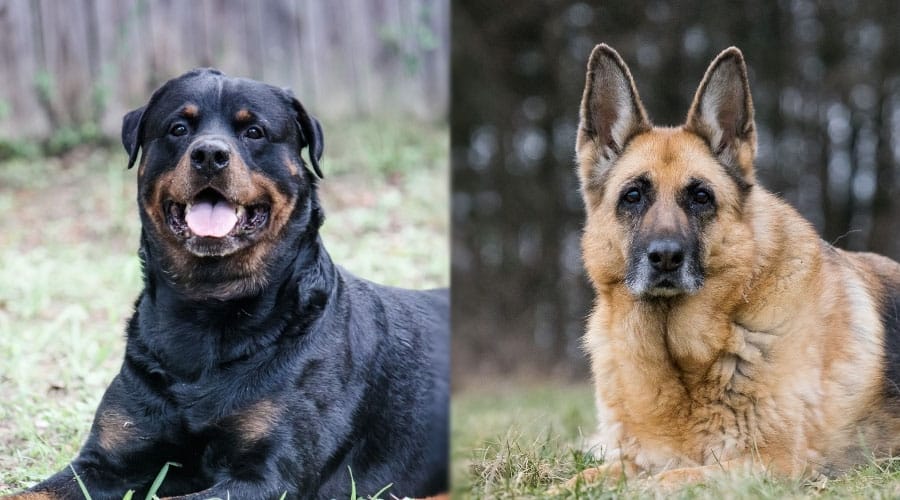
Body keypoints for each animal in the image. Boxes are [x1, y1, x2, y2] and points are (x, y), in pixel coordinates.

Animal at [9, 69, 450, 500]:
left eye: (254, 131)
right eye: (178, 128)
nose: (209, 154)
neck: (207, 308)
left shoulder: (268, 475)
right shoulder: (104, 460)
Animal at [568, 45, 900, 490]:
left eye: (701, 197)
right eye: (633, 196)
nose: (666, 257)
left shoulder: (771, 462)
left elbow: (667, 478)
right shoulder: (630, 459)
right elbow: (582, 477)